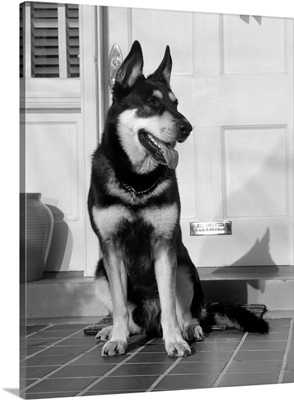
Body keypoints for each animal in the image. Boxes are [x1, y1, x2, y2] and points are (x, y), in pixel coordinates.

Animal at [88, 42, 268, 358]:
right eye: (152, 102)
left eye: (176, 103)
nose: (187, 127)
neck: (136, 181)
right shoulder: (111, 247)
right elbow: (120, 306)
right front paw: (118, 339)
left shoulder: (164, 245)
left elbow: (170, 305)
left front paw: (174, 341)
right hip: (100, 275)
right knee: (128, 317)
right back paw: (112, 330)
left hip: (184, 266)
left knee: (189, 313)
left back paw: (189, 330)